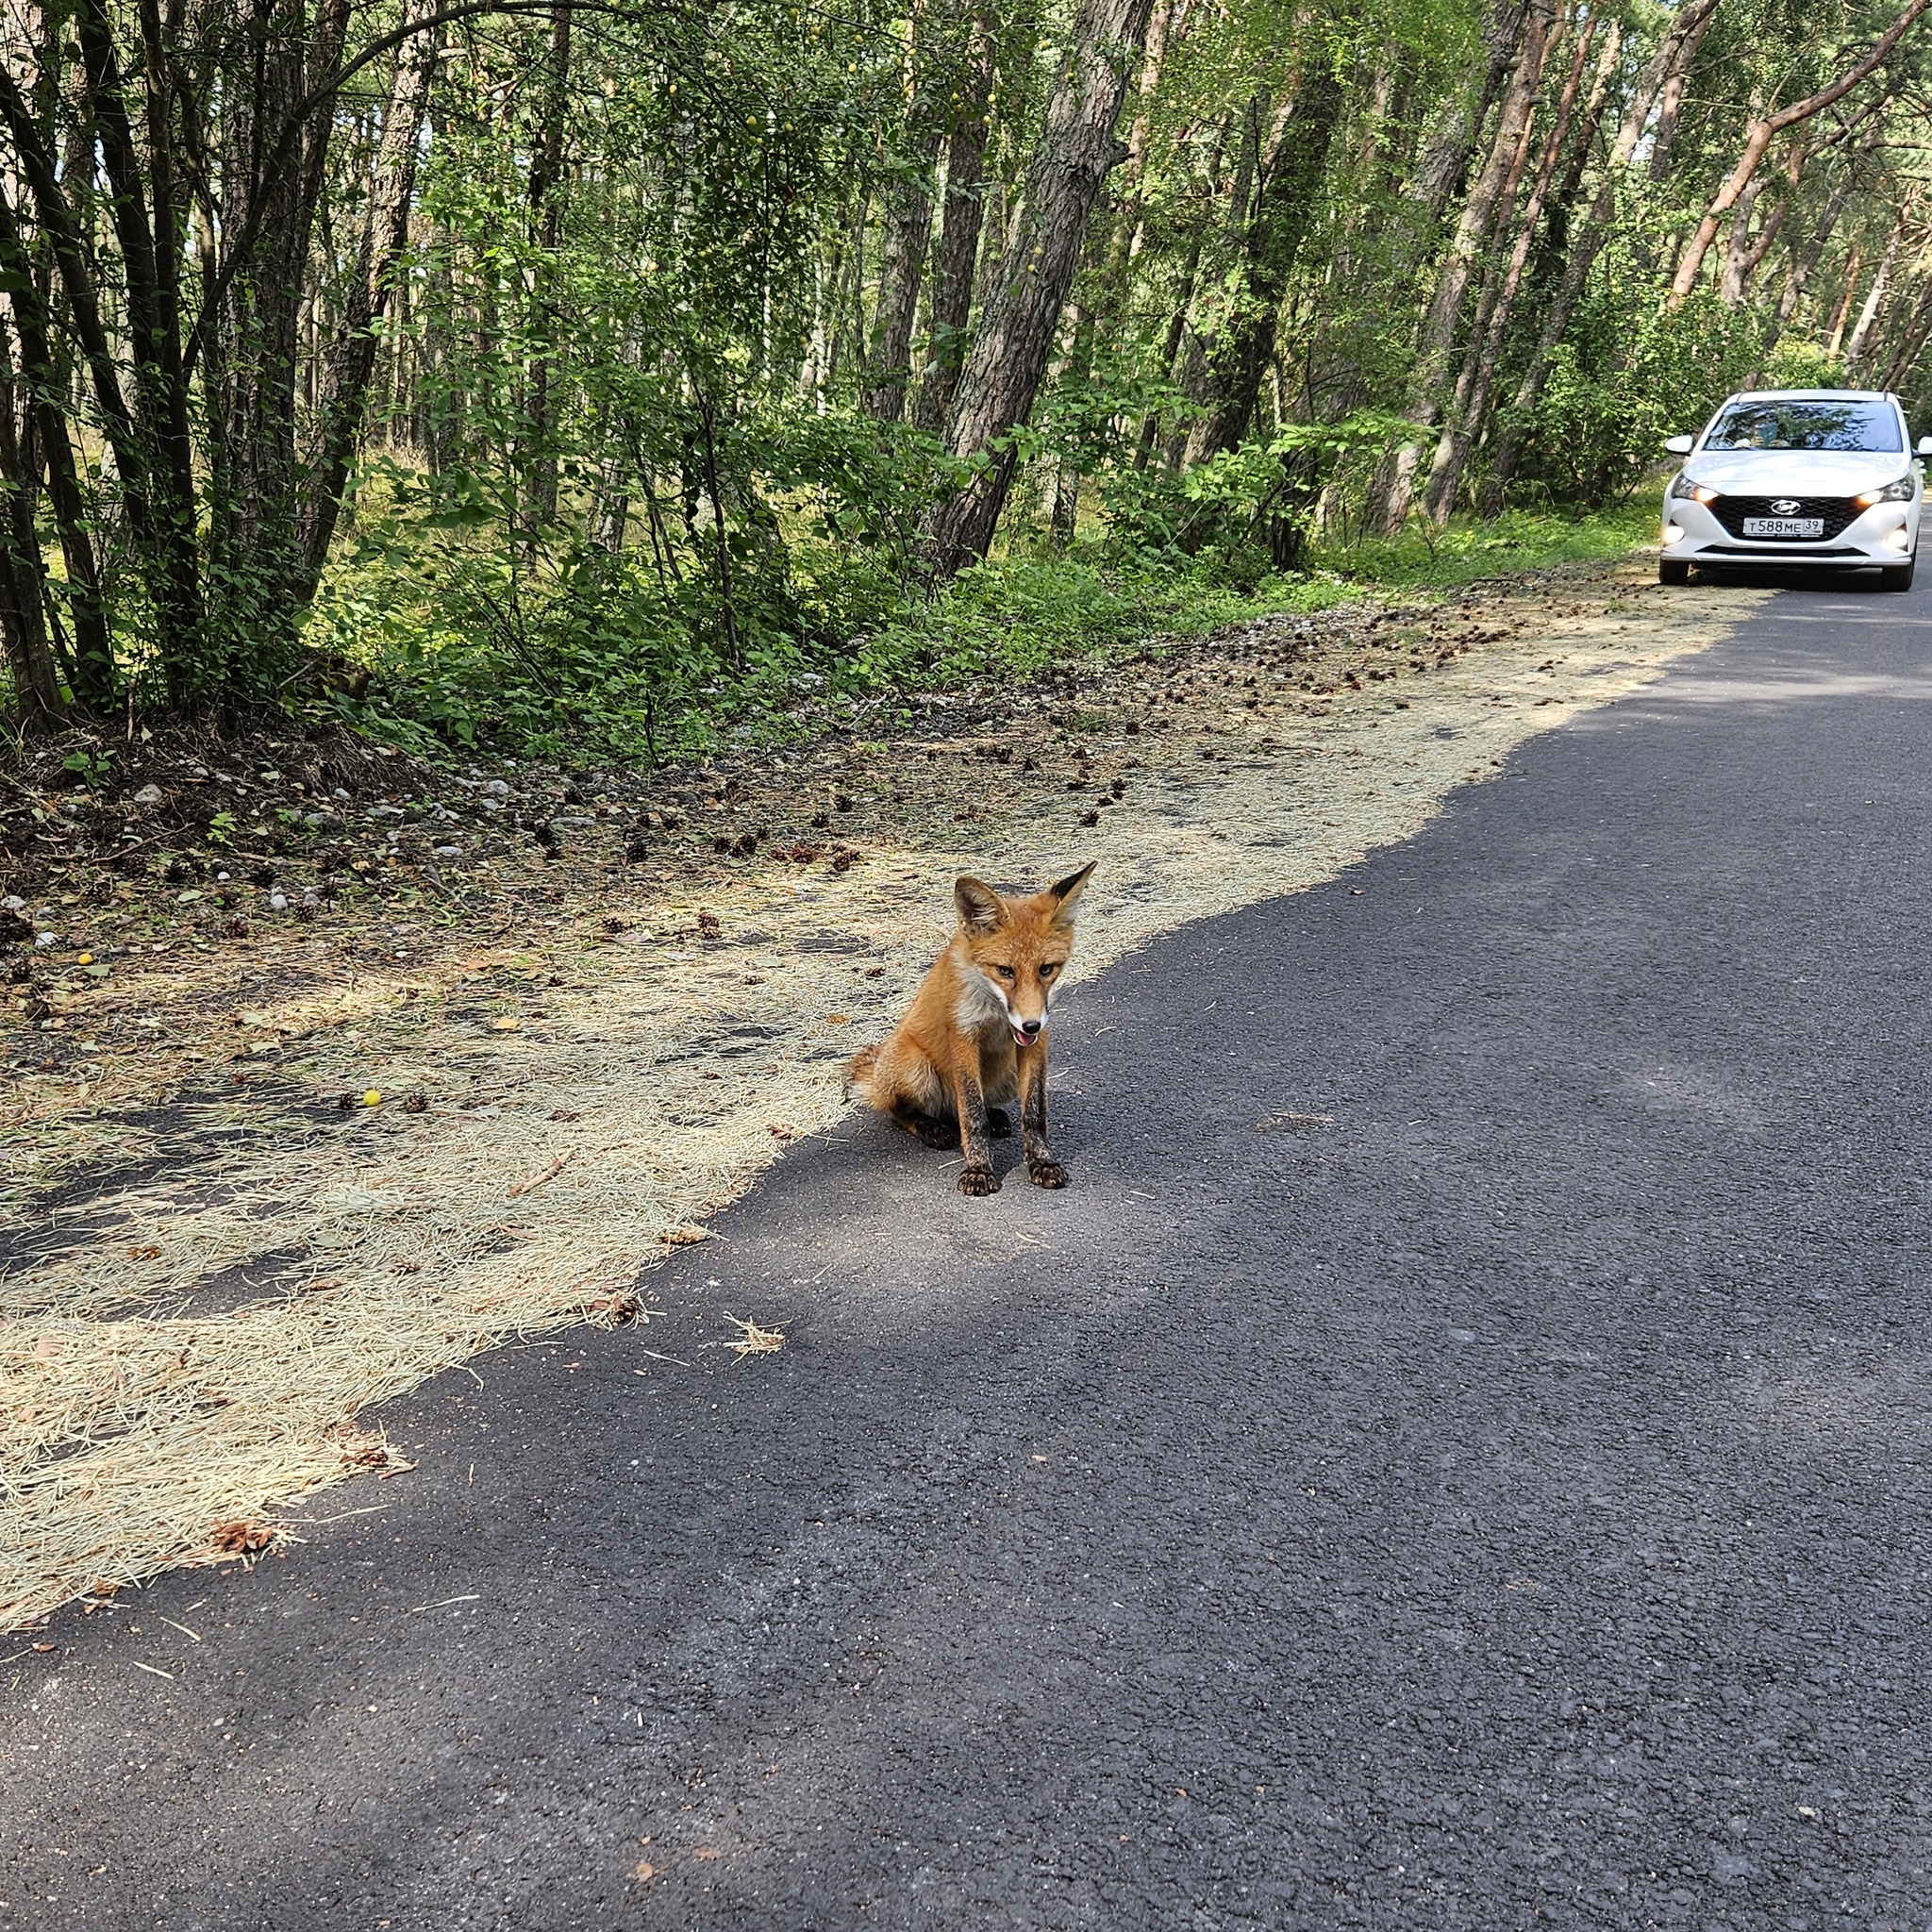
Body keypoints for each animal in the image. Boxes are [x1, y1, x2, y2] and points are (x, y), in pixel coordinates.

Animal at [850, 865, 1105, 1190]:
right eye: (1005, 971)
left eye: (1046, 969)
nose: (1030, 1024)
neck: (997, 1014)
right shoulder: (964, 1037)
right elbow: (972, 1114)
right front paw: (978, 1169)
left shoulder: (1037, 1041)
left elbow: (1034, 1112)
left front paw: (1042, 1161)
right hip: (915, 1068)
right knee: (901, 1112)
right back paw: (931, 1127)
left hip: (1007, 1075)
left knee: (968, 1110)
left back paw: (993, 1117)